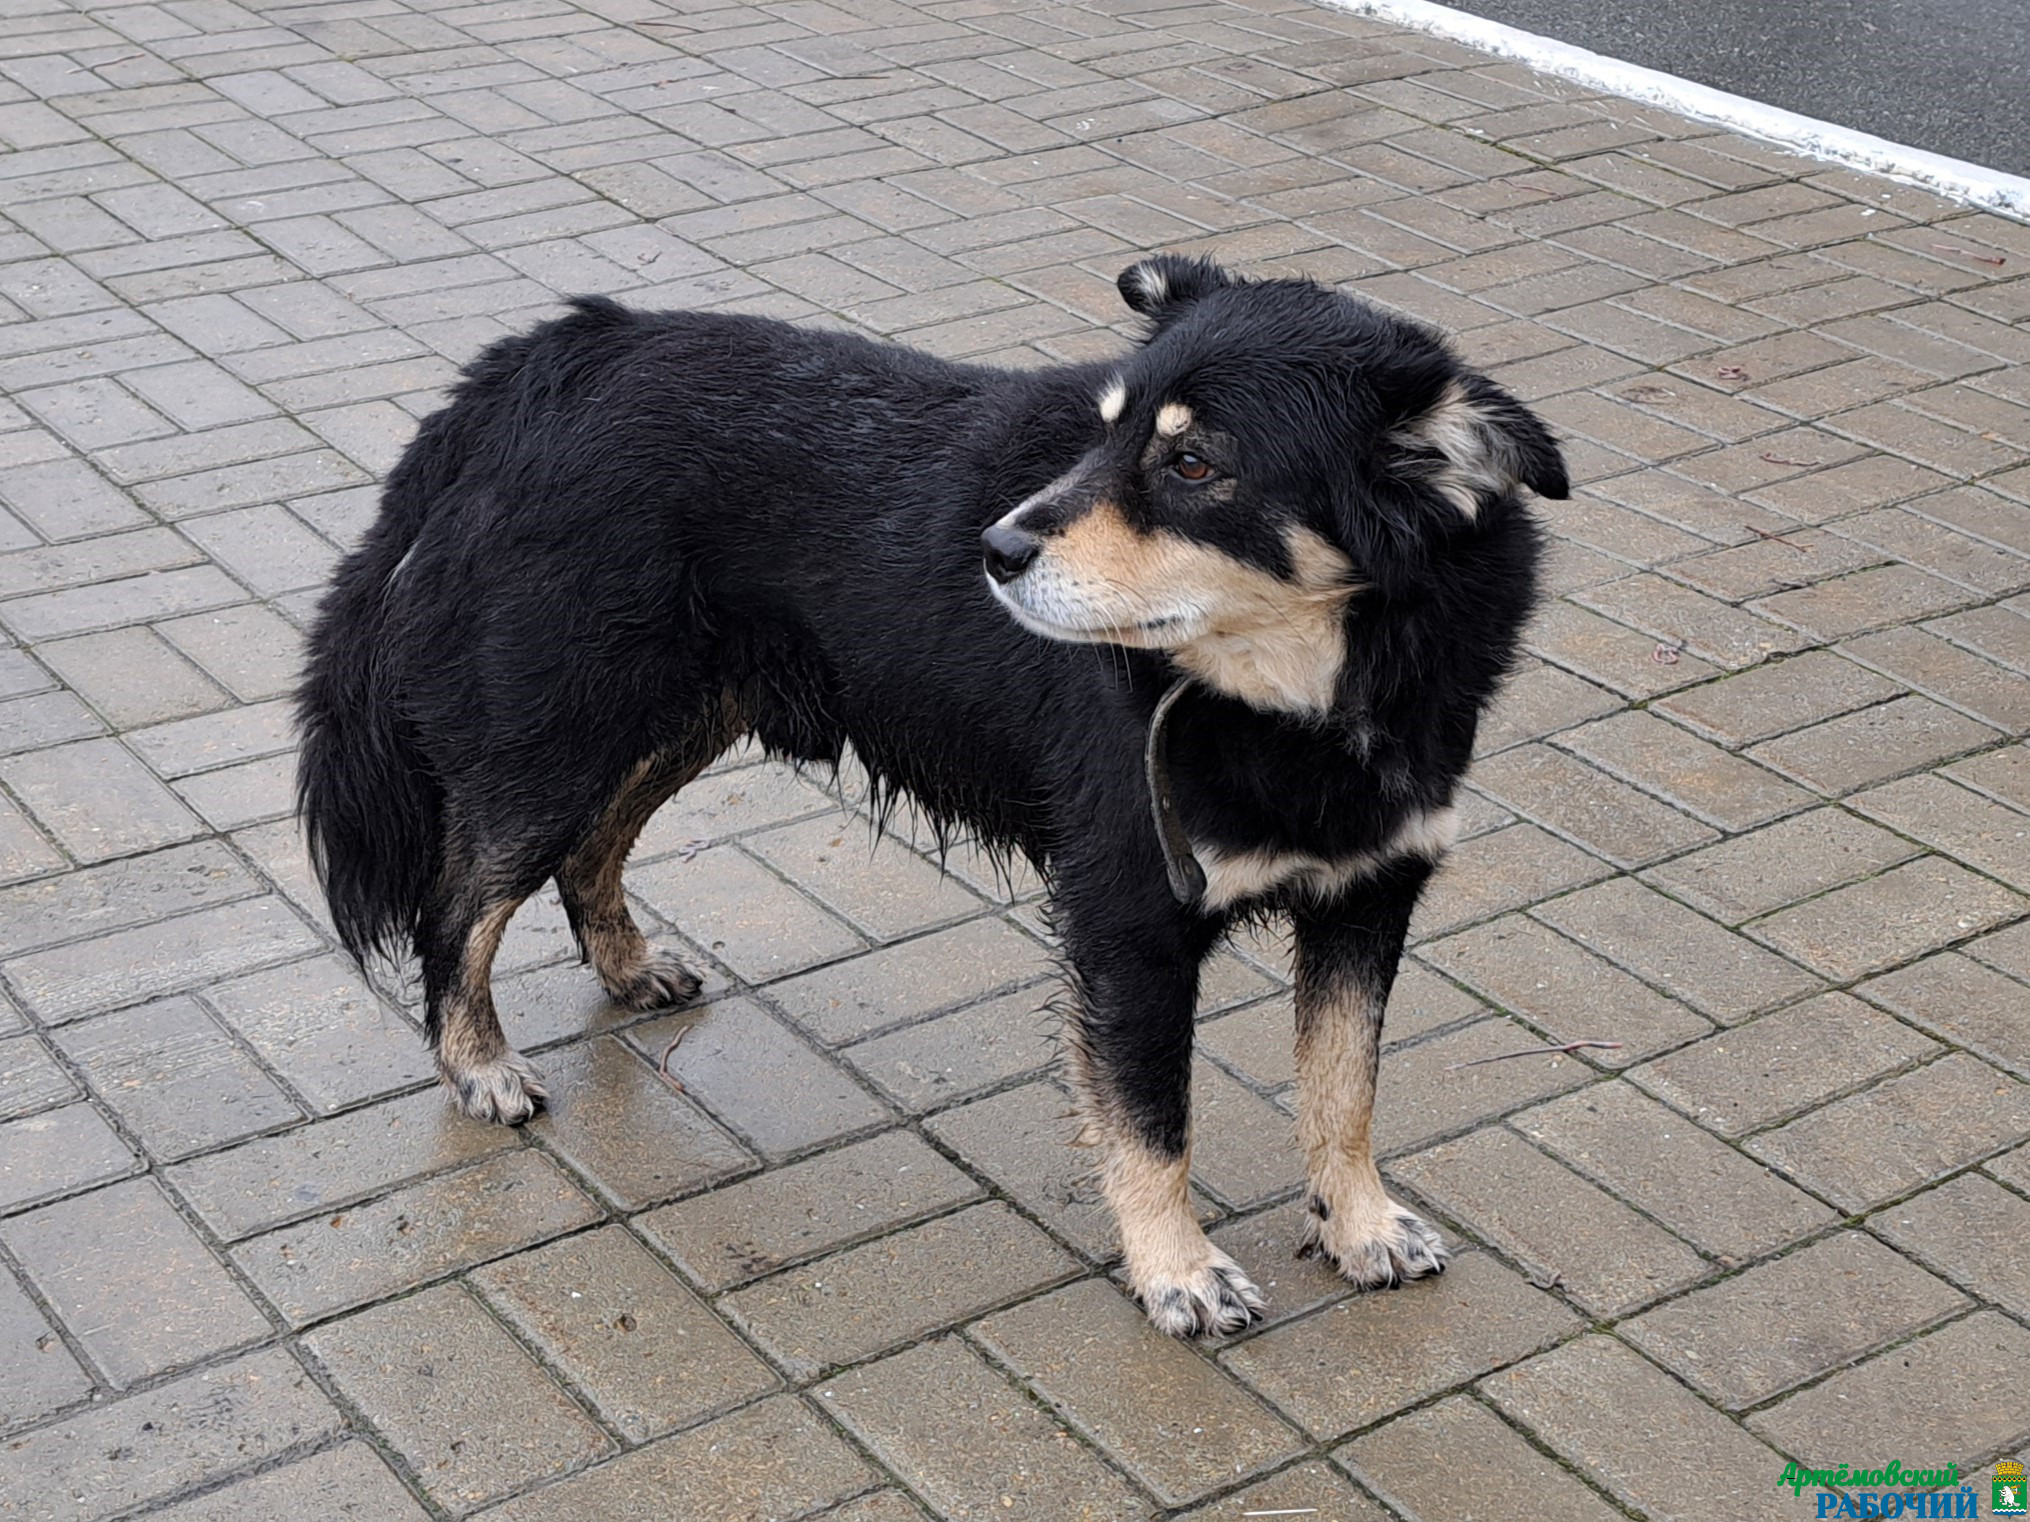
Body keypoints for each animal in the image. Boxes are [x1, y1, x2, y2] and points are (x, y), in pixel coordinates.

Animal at [294, 256, 1559, 1339]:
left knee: (585, 851)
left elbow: (1343, 1086)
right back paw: (477, 1063)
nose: (993, 547)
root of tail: (556, 351)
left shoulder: (1368, 890)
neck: (1301, 692)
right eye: (1102, 433)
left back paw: (625, 965)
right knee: (460, 905)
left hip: (678, 713)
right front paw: (1178, 1271)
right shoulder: (1129, 915)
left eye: (1196, 465)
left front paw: (1356, 1222)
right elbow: (1153, 1123)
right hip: (563, 726)